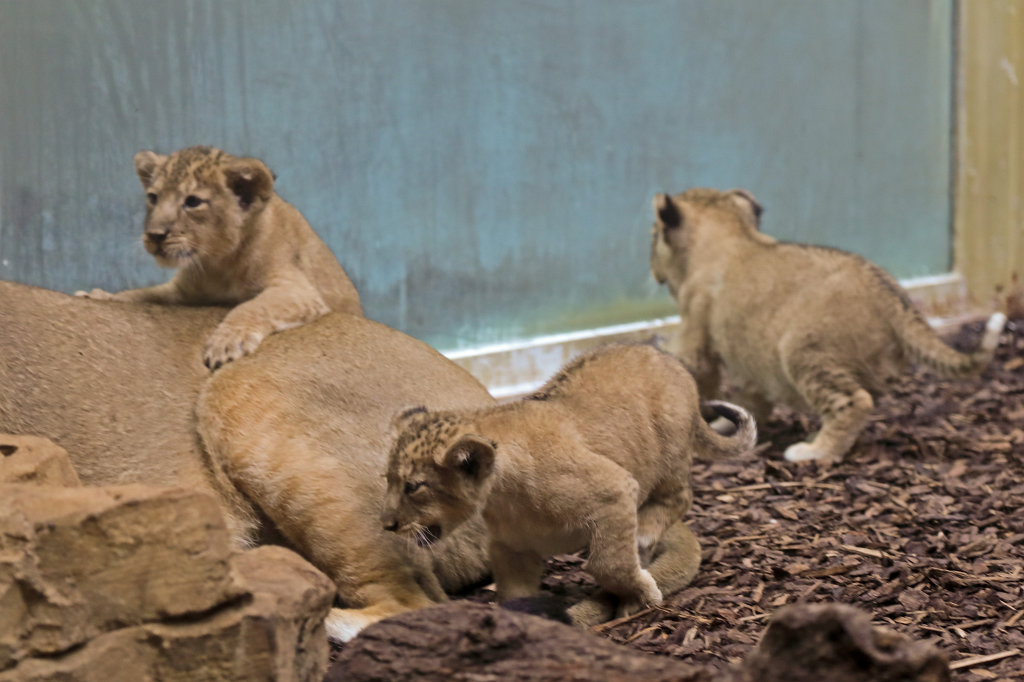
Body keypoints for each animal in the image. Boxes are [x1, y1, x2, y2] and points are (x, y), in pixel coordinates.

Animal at [76, 146, 362, 370]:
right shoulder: (182, 292)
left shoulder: (298, 290)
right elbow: (140, 294)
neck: (218, 263)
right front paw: (100, 295)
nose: (154, 235)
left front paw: (224, 344)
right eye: (153, 197)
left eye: (192, 202)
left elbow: (251, 306)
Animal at [381, 343, 756, 620]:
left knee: (681, 497)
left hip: (671, 454)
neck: (503, 496)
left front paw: (642, 593)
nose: (386, 525)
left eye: (413, 486)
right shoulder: (511, 548)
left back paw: (645, 535)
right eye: (387, 480)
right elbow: (513, 593)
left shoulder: (615, 489)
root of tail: (670, 361)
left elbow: (609, 563)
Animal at [649, 187, 1006, 463]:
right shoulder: (749, 358)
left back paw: (813, 452)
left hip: (804, 350)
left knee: (854, 402)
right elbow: (751, 401)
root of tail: (891, 296)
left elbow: (696, 374)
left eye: (653, 236)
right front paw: (729, 430)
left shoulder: (697, 336)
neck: (734, 233)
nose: (651, 267)